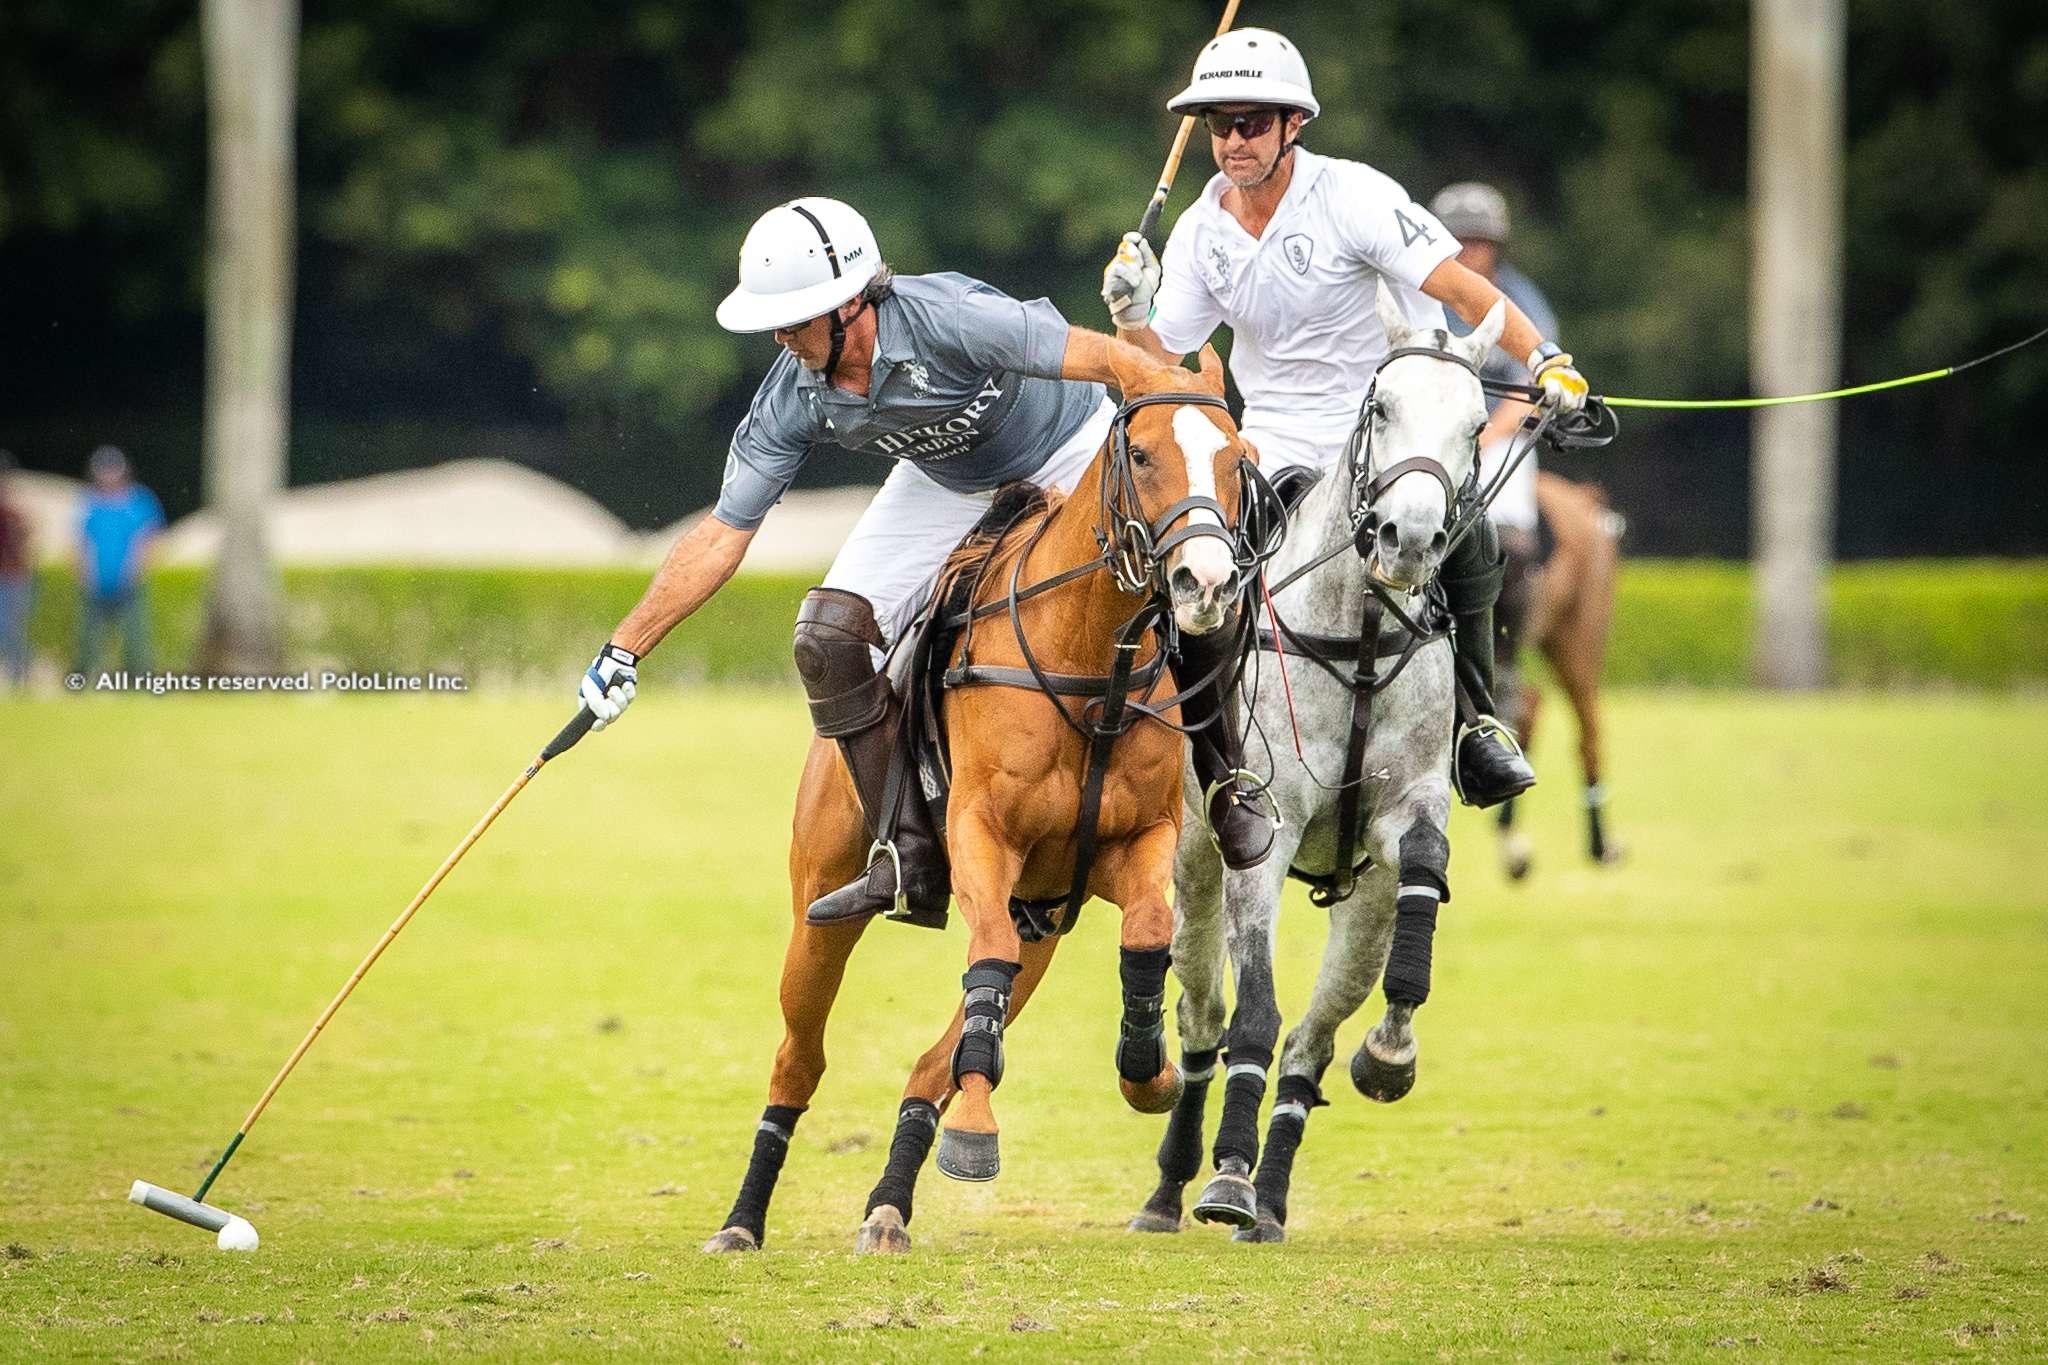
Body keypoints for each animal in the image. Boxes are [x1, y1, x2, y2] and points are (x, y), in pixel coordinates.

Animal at [704, 347, 1253, 1252]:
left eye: (1238, 460)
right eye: (1140, 455)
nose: (1204, 583)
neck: (1089, 659)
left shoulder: (1137, 839)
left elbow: (1146, 936)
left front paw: (1150, 1071)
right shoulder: (978, 836)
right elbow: (984, 957)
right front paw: (976, 1134)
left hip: (1045, 925)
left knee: (941, 1053)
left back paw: (889, 1203)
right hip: (821, 902)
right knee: (802, 1054)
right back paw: (743, 1220)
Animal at [1138, 282, 1507, 1244]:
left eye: (1477, 424)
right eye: (1382, 407)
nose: (1408, 539)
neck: (1363, 635)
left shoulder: (1406, 813)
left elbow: (1425, 864)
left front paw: (1392, 1050)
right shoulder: (1259, 835)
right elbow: (1253, 1013)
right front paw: (1224, 1177)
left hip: (1362, 902)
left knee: (1310, 1042)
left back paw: (1270, 1201)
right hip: (1192, 863)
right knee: (1205, 1015)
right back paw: (1177, 1189)